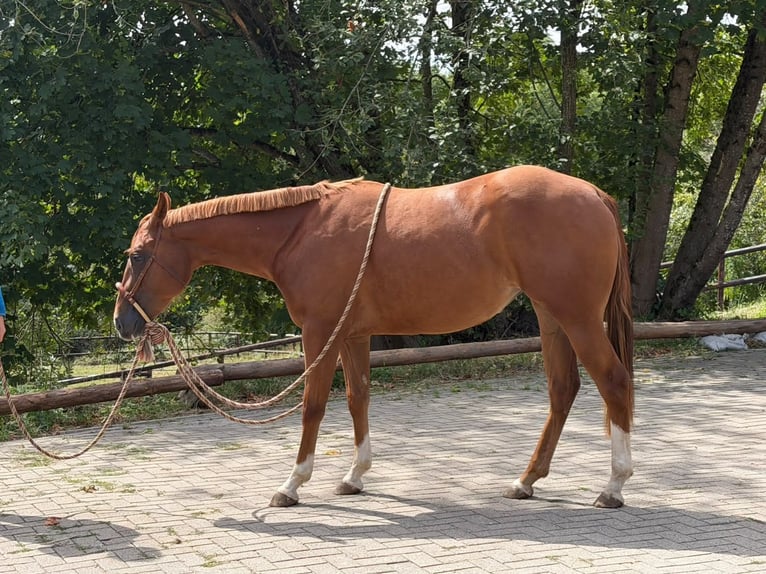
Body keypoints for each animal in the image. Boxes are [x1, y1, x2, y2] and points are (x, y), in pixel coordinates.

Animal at [114, 165, 634, 509]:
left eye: (137, 256)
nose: (122, 322)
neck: (300, 231)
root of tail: (594, 193)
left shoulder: (319, 332)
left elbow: (313, 406)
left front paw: (292, 484)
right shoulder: (351, 335)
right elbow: (357, 397)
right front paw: (354, 476)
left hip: (578, 319)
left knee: (614, 383)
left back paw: (613, 486)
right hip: (552, 318)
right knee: (563, 390)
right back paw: (526, 481)